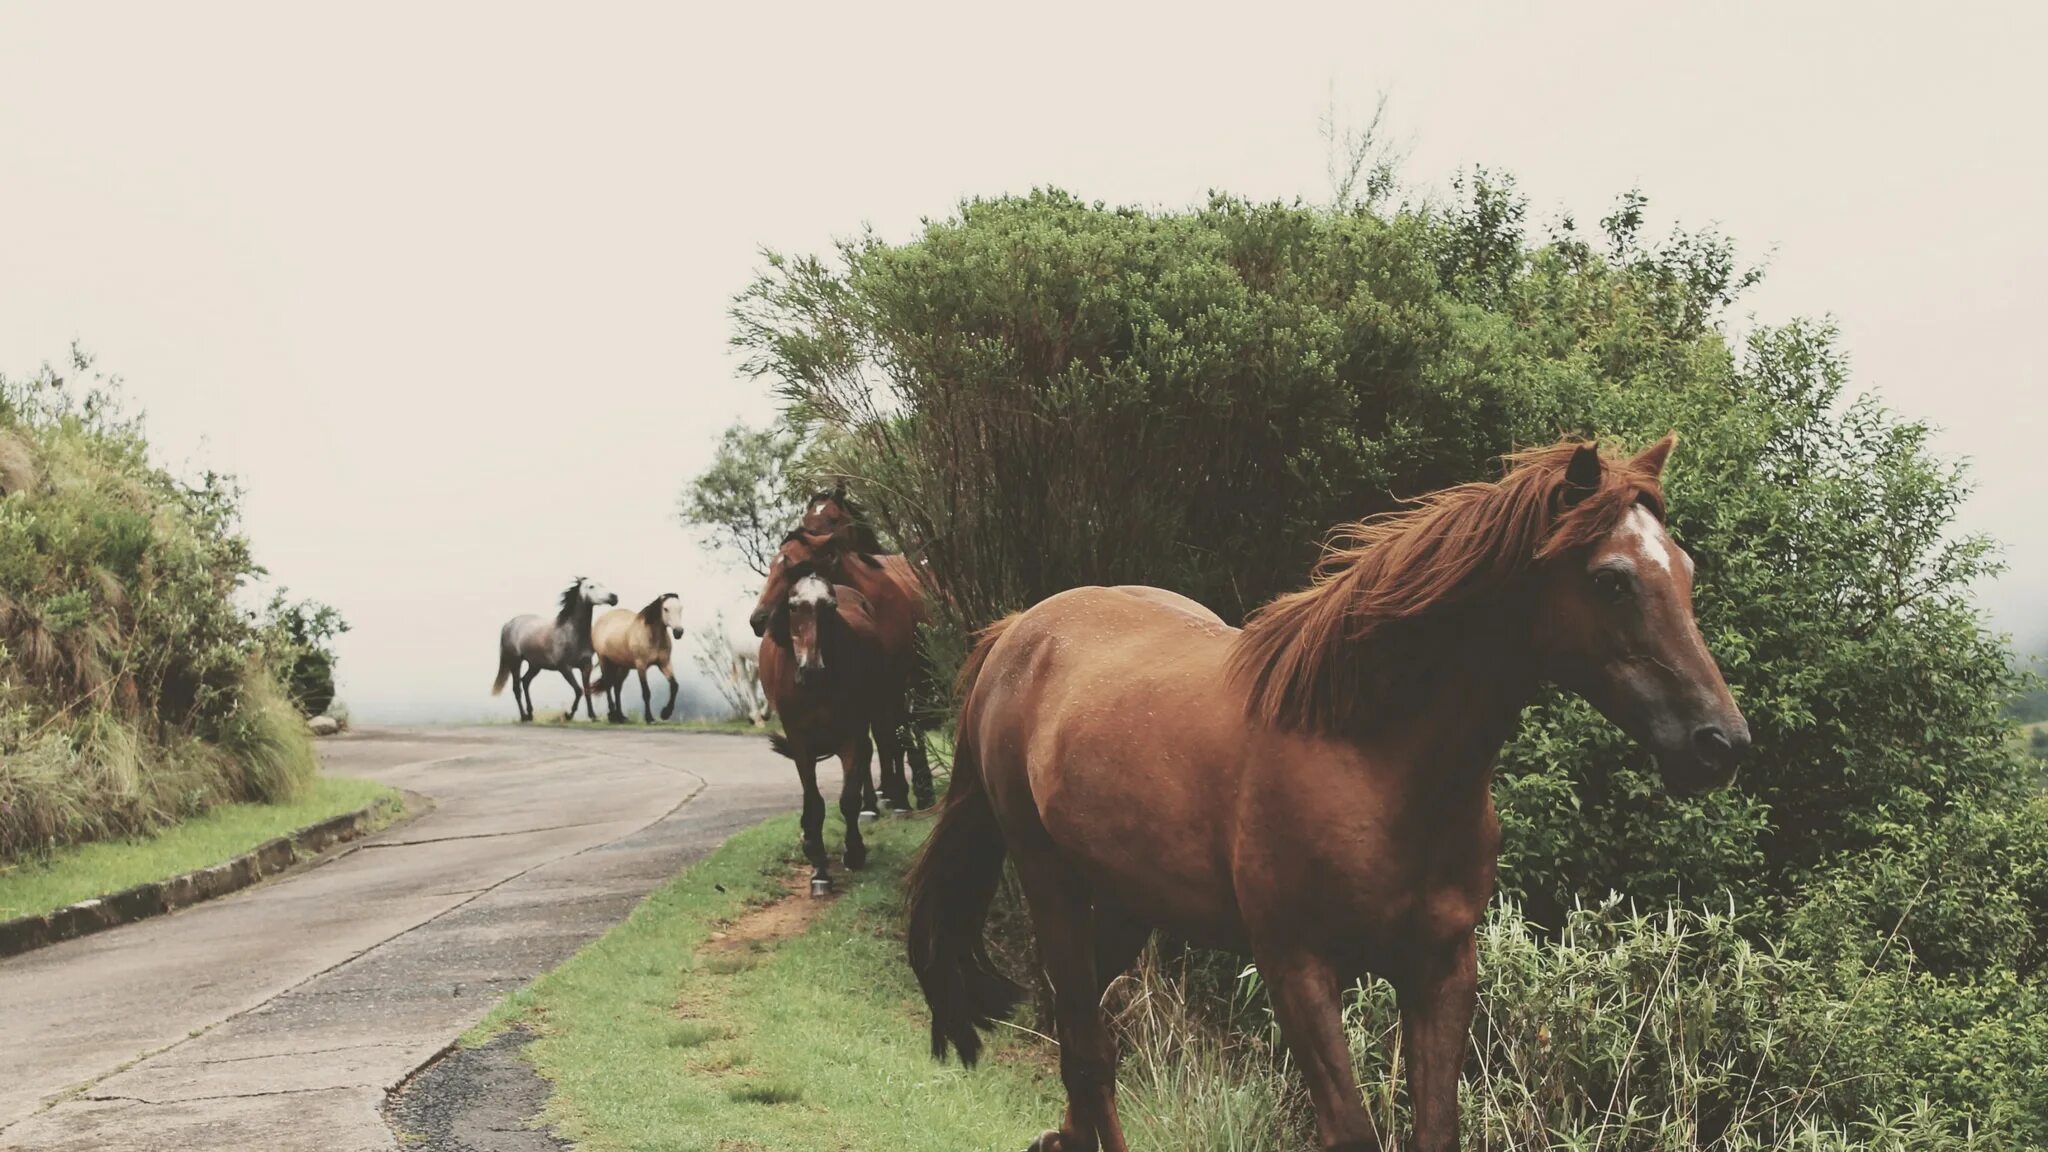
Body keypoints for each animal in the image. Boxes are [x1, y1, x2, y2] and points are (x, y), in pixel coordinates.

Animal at [489, 573, 614, 717]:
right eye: (591, 586)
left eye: (602, 584)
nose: (614, 597)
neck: (572, 633)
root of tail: (508, 624)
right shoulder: (564, 668)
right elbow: (578, 690)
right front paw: (569, 715)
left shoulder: (586, 666)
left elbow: (587, 689)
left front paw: (592, 716)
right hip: (515, 661)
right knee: (517, 688)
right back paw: (524, 716)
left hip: (535, 665)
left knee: (525, 681)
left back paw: (530, 713)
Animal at [753, 487, 937, 803]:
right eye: (806, 518)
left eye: (834, 518)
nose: (758, 619)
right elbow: (875, 738)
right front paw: (875, 799)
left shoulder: (895, 680)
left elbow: (892, 734)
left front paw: (900, 793)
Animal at [757, 565, 884, 889]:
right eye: (793, 606)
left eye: (831, 607)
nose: (811, 670)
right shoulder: (799, 738)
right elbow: (814, 801)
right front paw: (819, 866)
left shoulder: (852, 732)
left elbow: (848, 798)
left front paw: (854, 852)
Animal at [905, 434, 1753, 1147]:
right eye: (1612, 581)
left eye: (1686, 573)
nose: (1721, 743)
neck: (1373, 762)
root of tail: (1020, 631)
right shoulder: (1299, 970)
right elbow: (1351, 1131)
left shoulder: (1442, 969)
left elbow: (1435, 1130)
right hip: (1051, 882)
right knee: (1086, 1046)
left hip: (1126, 904)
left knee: (1079, 1042)